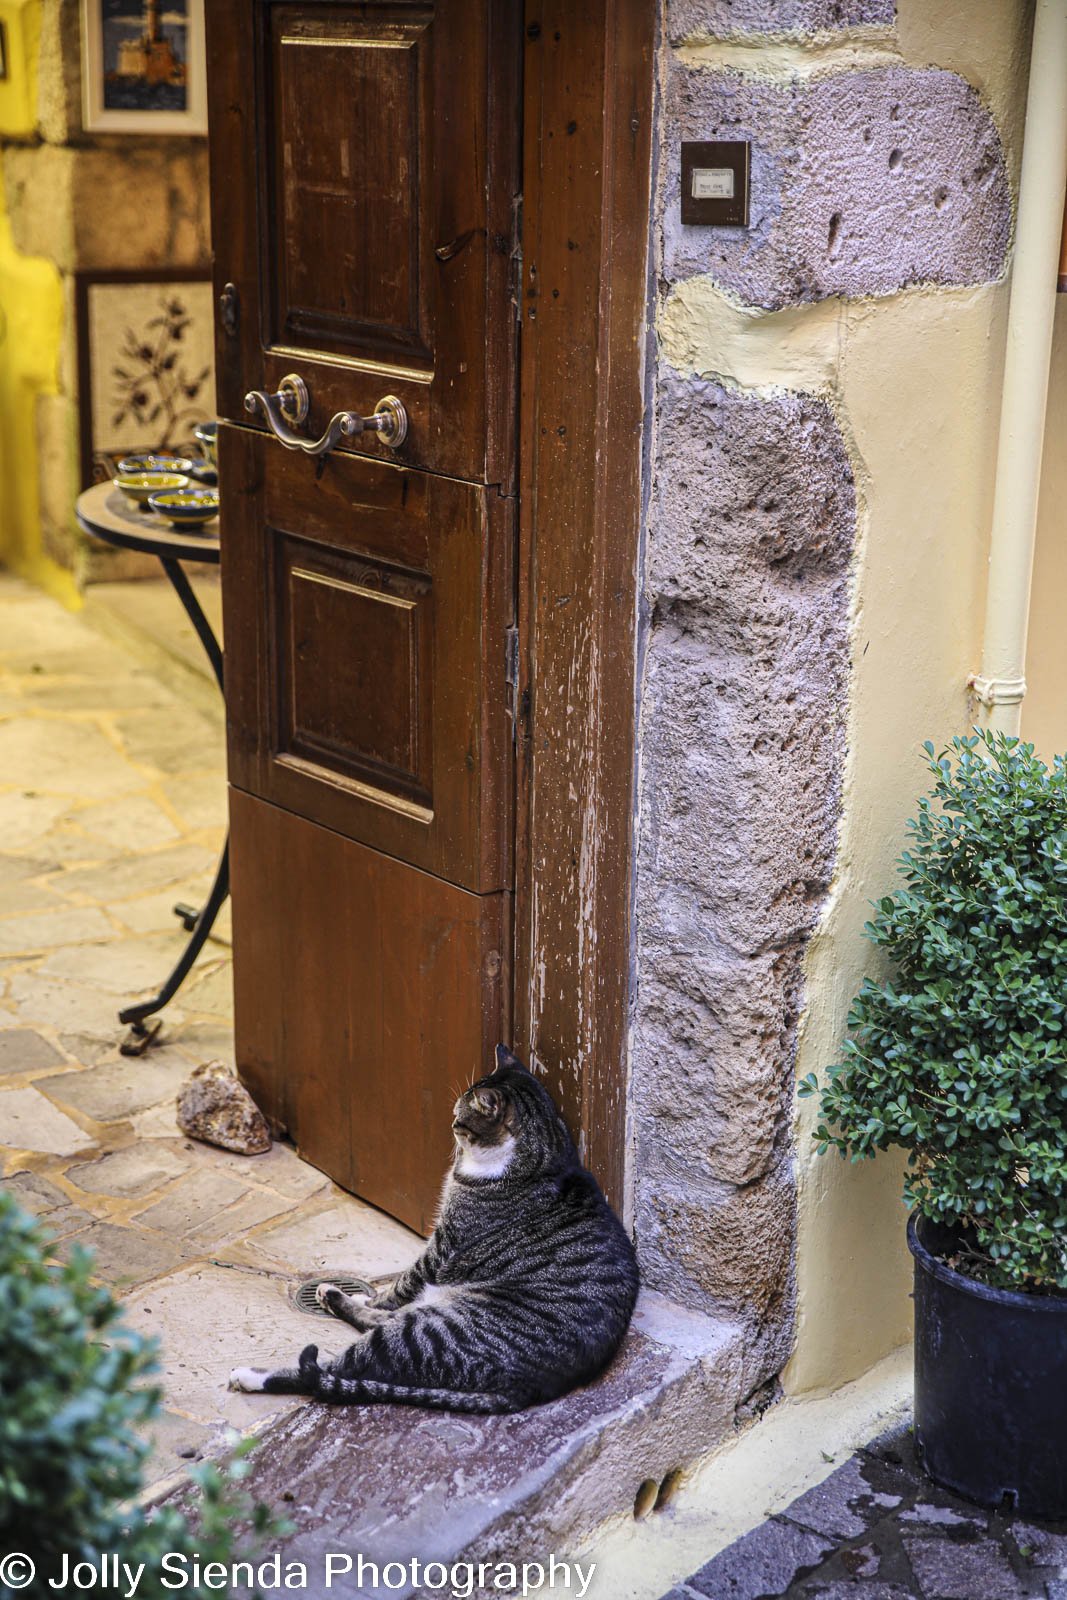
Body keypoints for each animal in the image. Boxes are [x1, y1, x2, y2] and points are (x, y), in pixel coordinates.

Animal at [230, 1043, 639, 1408]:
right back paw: (334, 1295)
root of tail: (524, 1390)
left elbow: (403, 1282)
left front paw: (377, 1294)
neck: (543, 1157)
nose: (450, 1124)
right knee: (379, 1323)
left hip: (427, 1333)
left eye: (460, 1119)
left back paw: (252, 1374)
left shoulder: (445, 1243)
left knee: (336, 1367)